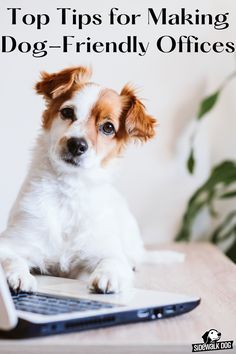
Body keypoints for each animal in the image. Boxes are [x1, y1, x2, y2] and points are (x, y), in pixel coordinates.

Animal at [0, 65, 183, 294]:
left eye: (108, 127)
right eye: (67, 112)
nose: (76, 144)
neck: (69, 191)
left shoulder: (107, 251)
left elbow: (113, 261)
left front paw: (108, 276)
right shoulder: (12, 241)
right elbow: (11, 258)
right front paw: (19, 276)